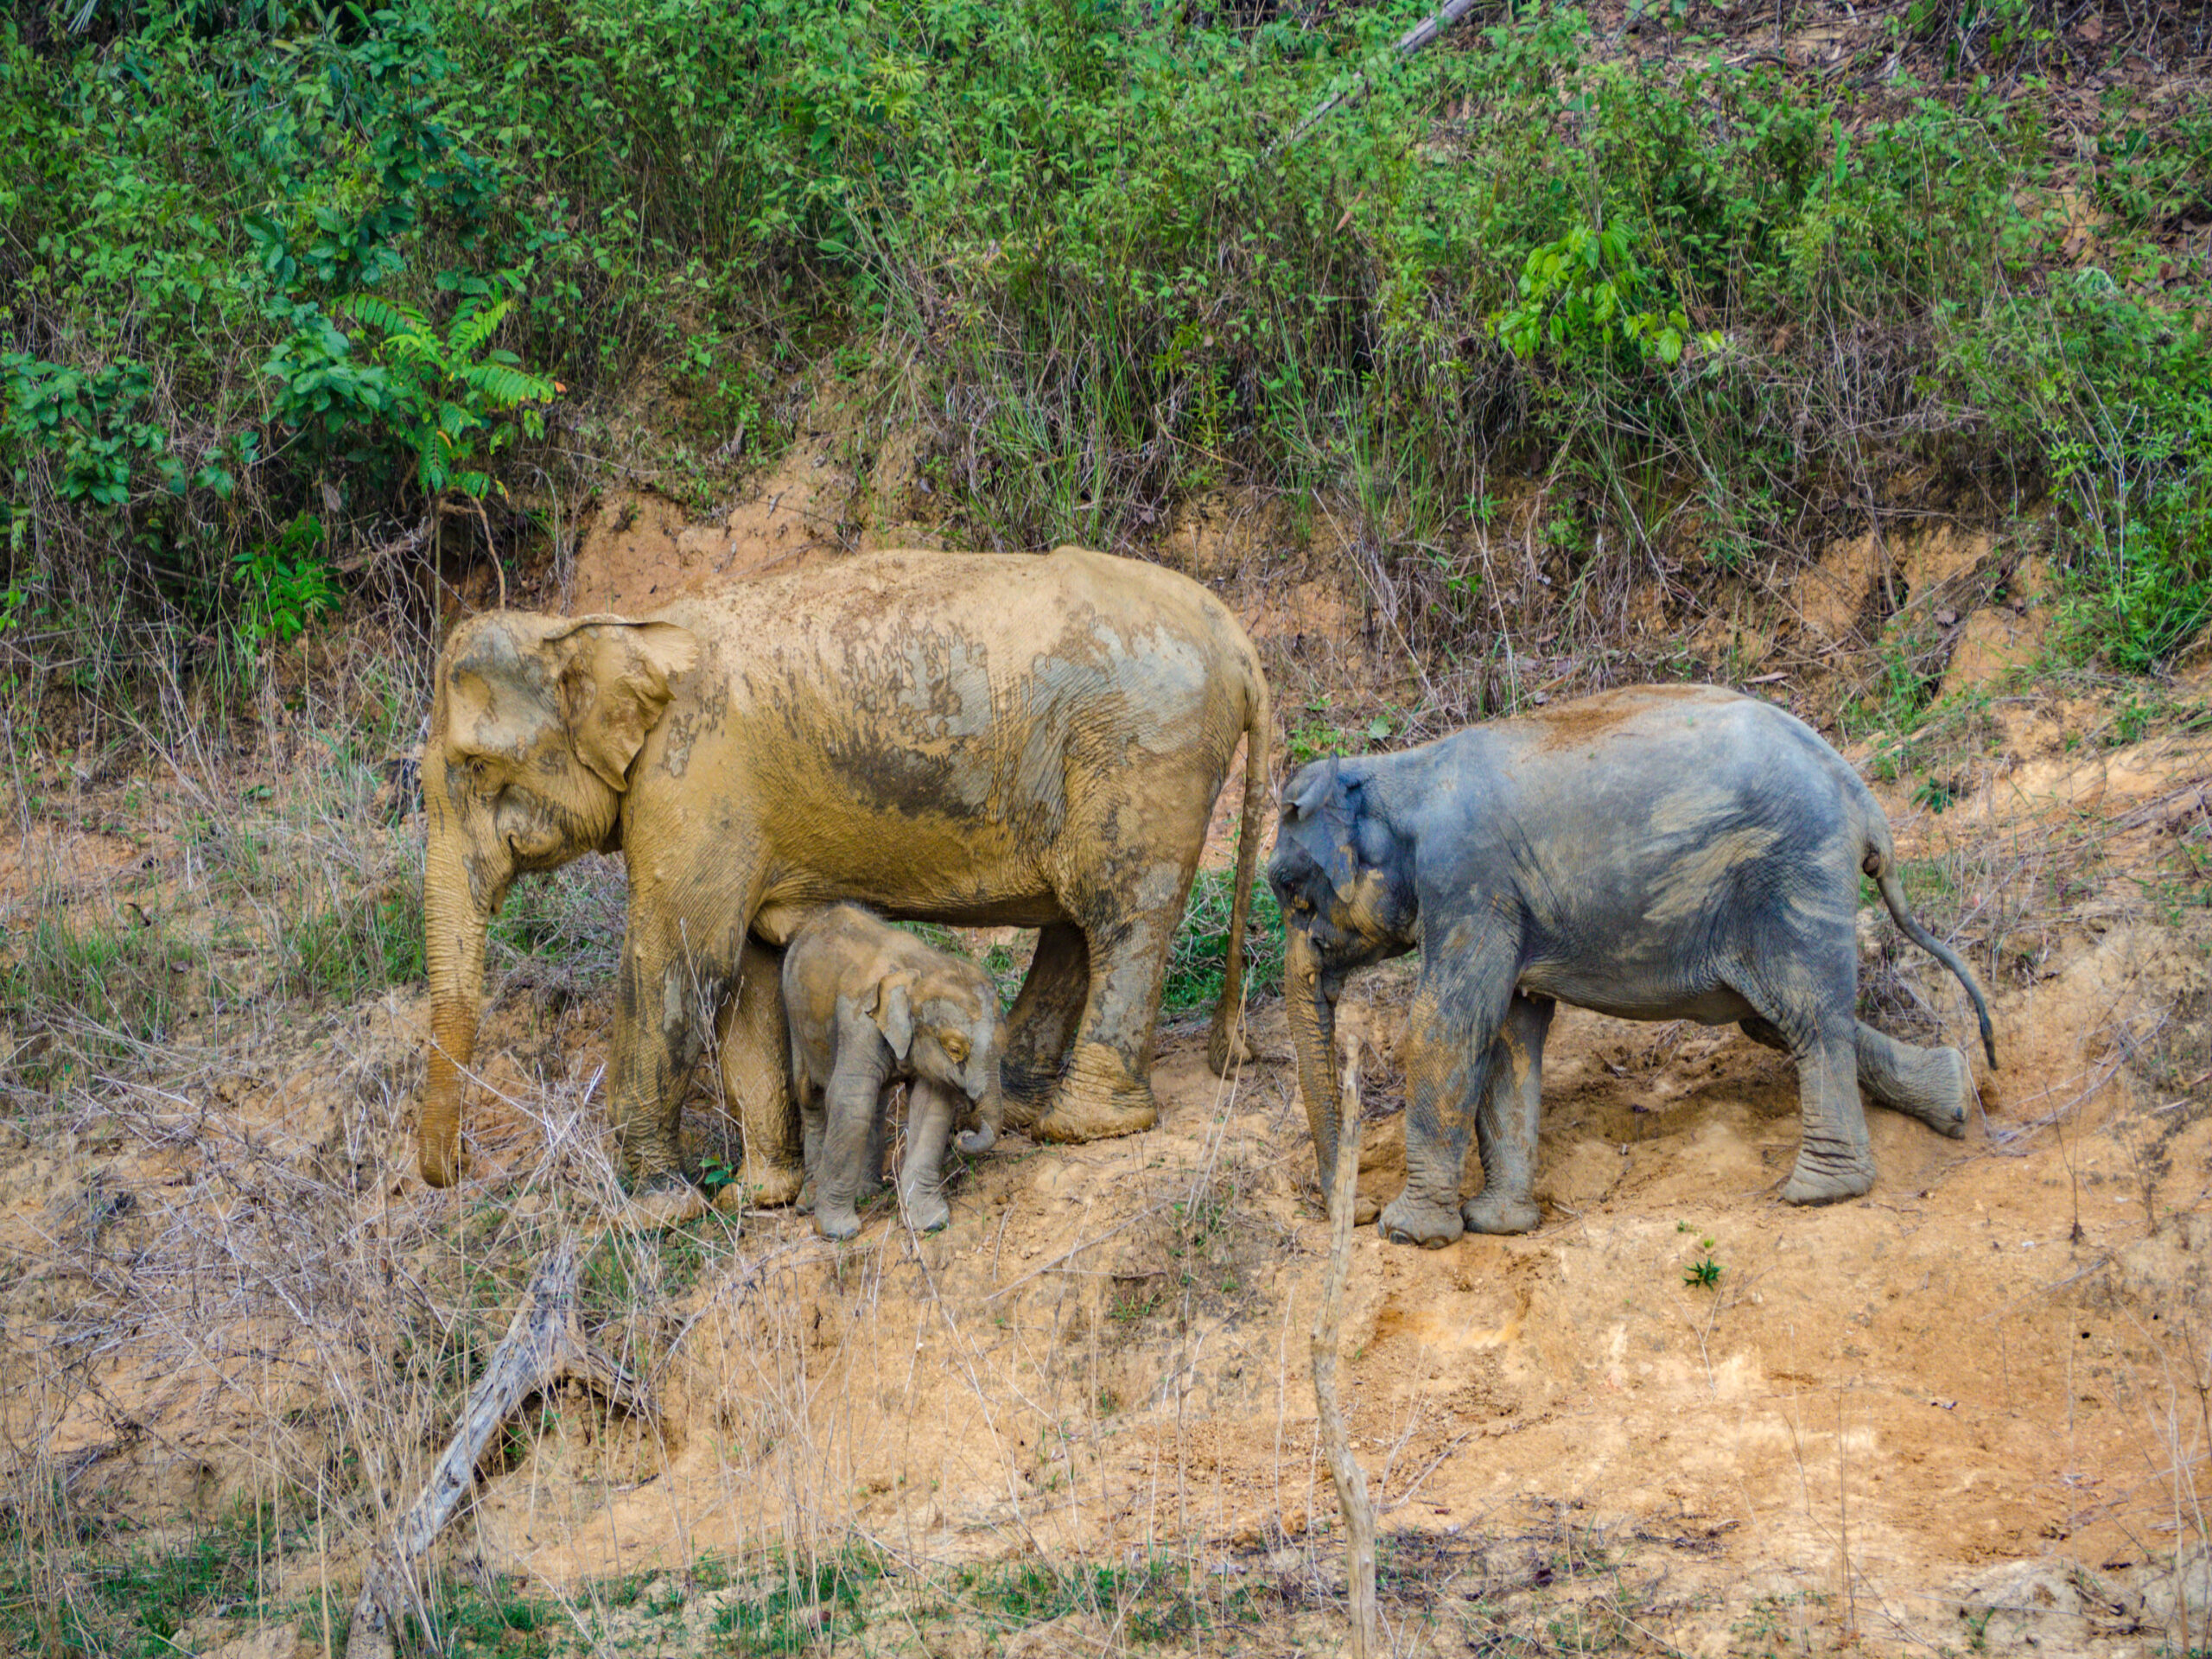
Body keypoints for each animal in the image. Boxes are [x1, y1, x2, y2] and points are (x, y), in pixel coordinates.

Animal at [783, 903, 1007, 1239]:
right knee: (812, 1096)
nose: (964, 1134)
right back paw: (808, 1201)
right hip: (794, 1014)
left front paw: (931, 1223)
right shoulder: (858, 1024)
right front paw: (838, 1233)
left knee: (876, 1101)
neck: (921, 970)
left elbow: (931, 1110)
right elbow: (850, 1103)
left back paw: (866, 1191)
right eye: (955, 1049)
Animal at [1267, 683, 1999, 1247]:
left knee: (1806, 1017)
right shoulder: (1501, 900)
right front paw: (1500, 1226)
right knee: (1778, 1017)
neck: (1400, 771)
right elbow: (1510, 1033)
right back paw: (1954, 1095)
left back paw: (1820, 1192)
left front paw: (1410, 1234)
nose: (1356, 1209)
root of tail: (1861, 795)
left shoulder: (1469, 880)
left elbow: (1449, 1025)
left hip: (1794, 873)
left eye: (1291, 890)